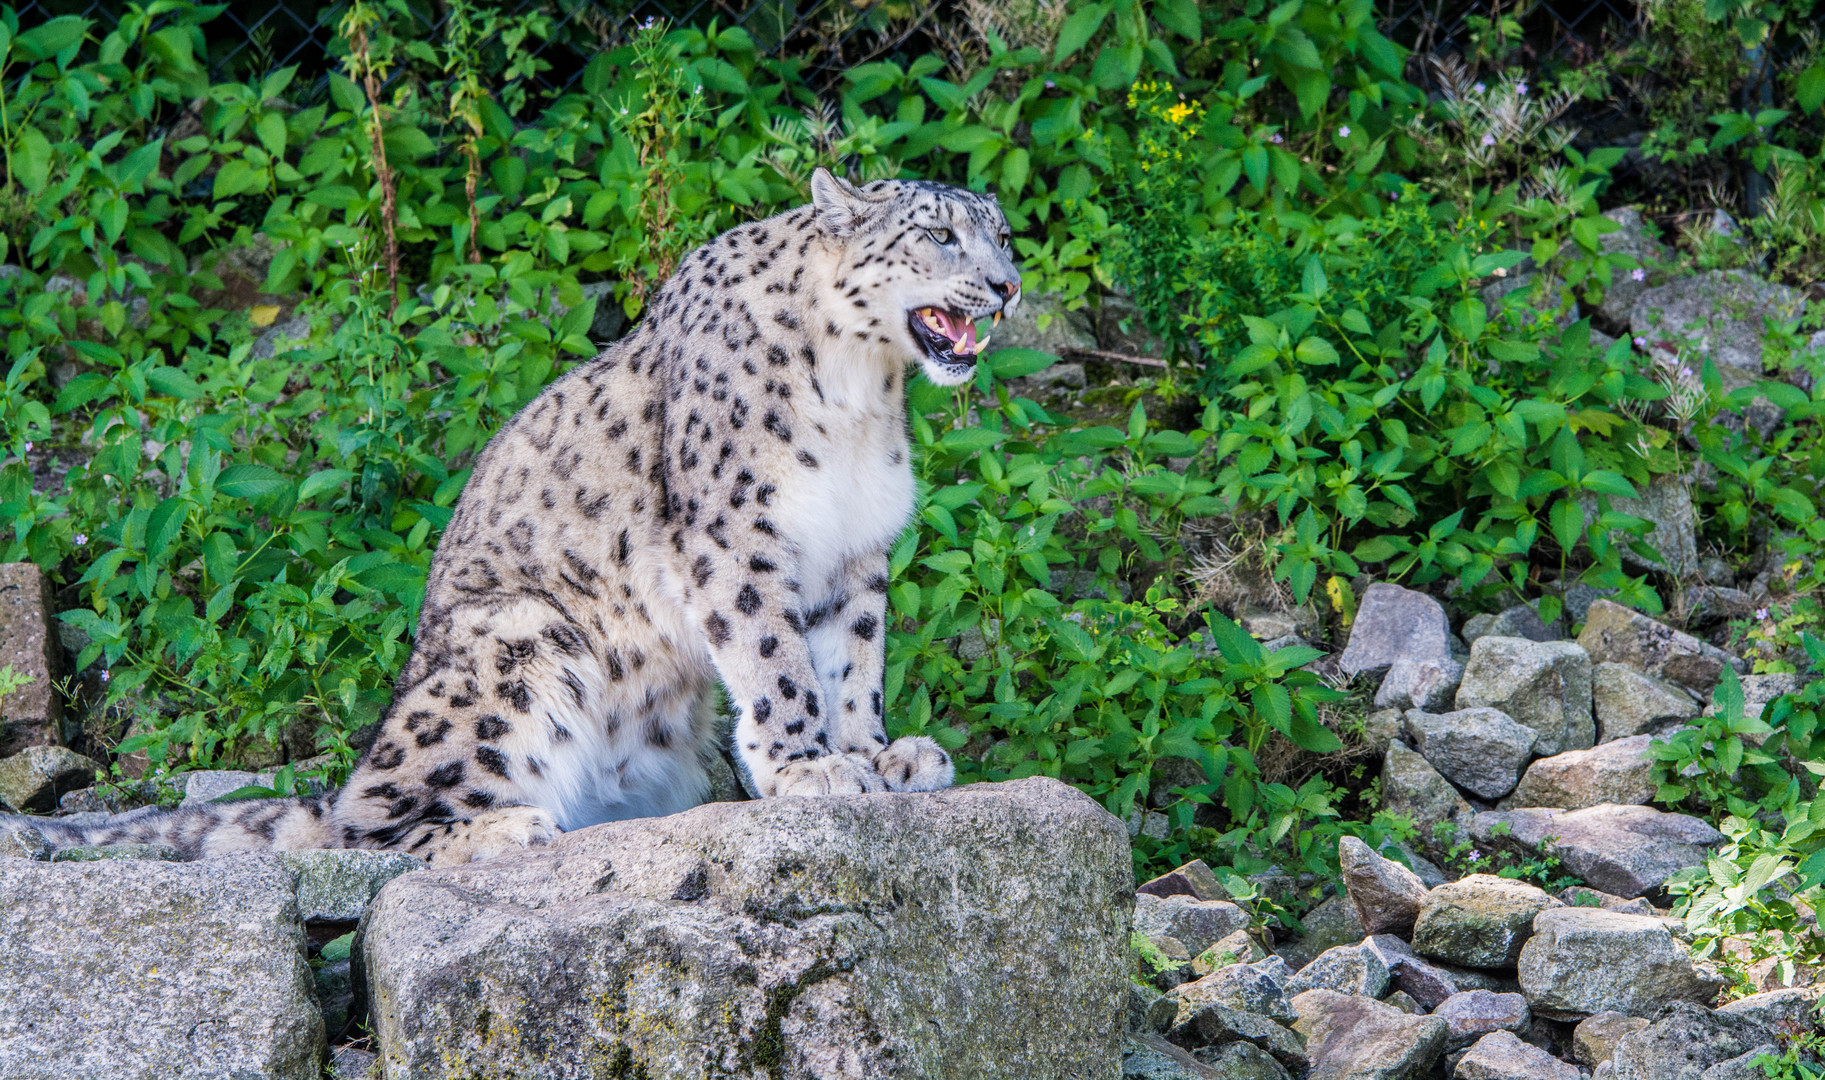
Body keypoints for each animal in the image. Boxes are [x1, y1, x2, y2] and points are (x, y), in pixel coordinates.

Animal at [3, 168, 1029, 864]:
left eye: (1003, 235)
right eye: (938, 234)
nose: (1007, 286)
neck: (864, 390)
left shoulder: (855, 548)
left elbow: (853, 661)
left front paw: (878, 758)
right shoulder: (738, 538)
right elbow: (777, 660)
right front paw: (808, 767)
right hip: (520, 642)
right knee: (364, 827)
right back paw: (507, 829)